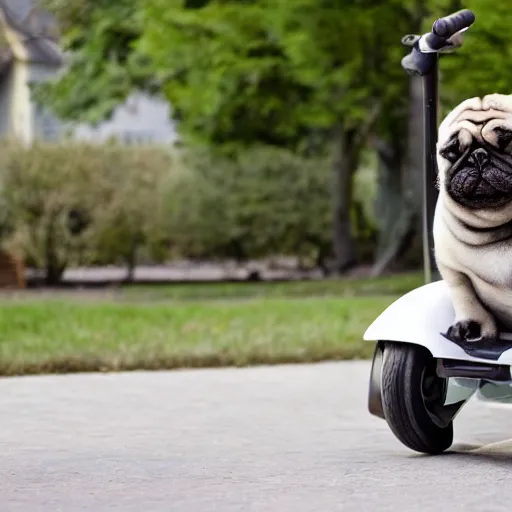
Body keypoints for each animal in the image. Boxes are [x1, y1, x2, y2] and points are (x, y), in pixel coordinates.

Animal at [434, 94, 512, 352]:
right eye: (451, 151)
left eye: (508, 140)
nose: (478, 155)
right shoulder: (453, 270)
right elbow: (467, 299)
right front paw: (470, 327)